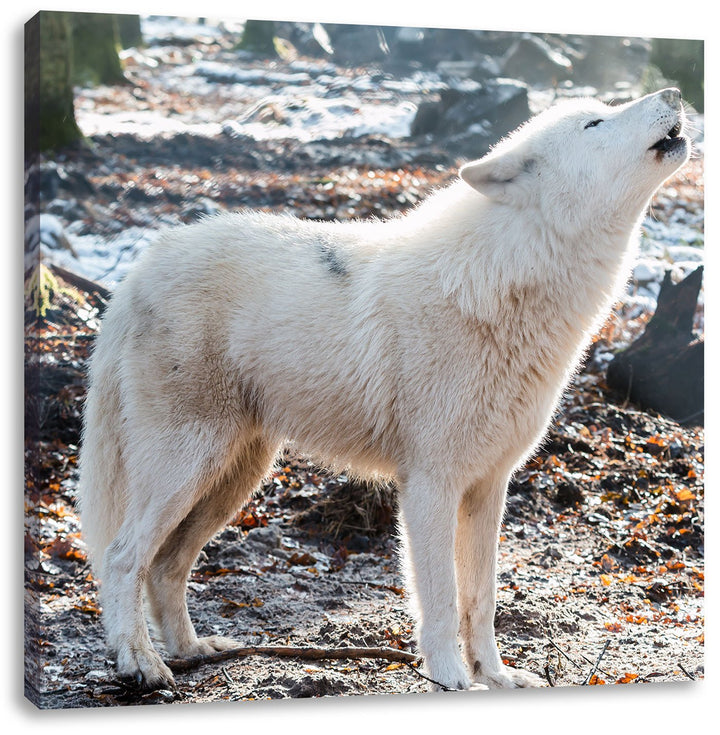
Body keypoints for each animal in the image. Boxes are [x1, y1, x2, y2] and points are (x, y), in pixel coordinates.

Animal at [78, 88, 690, 692]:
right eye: (595, 123)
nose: (675, 93)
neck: (507, 281)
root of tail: (138, 270)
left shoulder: (489, 487)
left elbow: (482, 599)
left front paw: (495, 675)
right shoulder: (429, 485)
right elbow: (441, 599)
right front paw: (450, 679)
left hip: (233, 479)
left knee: (166, 565)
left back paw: (191, 651)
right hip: (188, 468)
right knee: (122, 557)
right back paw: (141, 664)